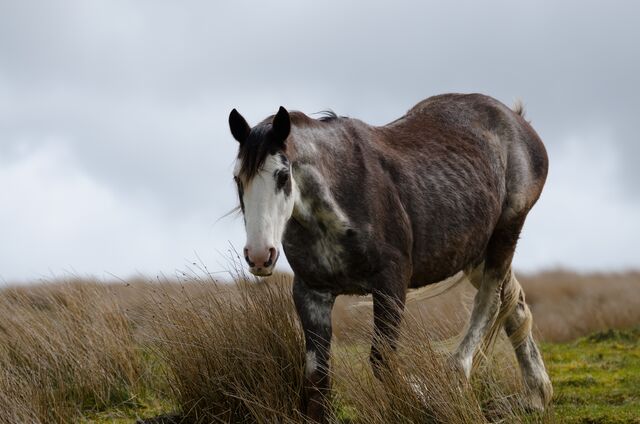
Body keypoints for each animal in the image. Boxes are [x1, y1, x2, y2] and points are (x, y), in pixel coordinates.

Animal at [227, 93, 552, 422]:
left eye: (283, 176)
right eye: (238, 179)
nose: (259, 256)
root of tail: (514, 118)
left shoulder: (391, 284)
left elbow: (382, 360)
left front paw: (428, 398)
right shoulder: (311, 292)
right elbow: (317, 377)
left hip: (505, 233)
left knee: (490, 302)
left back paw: (457, 376)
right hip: (475, 252)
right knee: (514, 304)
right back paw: (536, 396)